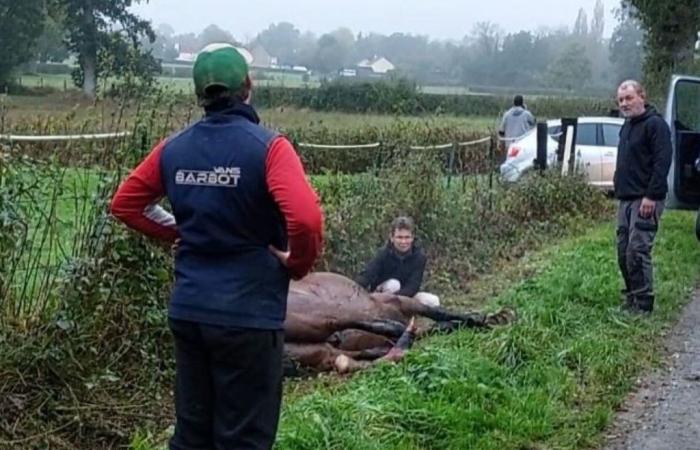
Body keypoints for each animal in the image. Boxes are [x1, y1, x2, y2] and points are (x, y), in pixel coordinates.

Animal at [282, 272, 516, 374]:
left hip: (314, 349)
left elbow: (437, 323)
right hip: (320, 314)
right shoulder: (399, 301)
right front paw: (490, 317)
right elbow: (439, 313)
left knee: (349, 360)